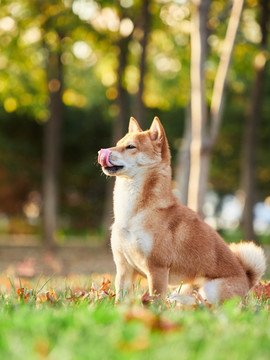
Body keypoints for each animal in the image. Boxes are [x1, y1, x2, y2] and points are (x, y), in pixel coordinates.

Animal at [97, 116, 266, 302]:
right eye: (118, 144)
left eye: (130, 147)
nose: (101, 152)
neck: (134, 211)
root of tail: (247, 281)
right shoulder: (124, 267)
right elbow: (120, 299)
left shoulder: (157, 267)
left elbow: (156, 297)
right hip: (187, 287)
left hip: (212, 288)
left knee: (208, 305)